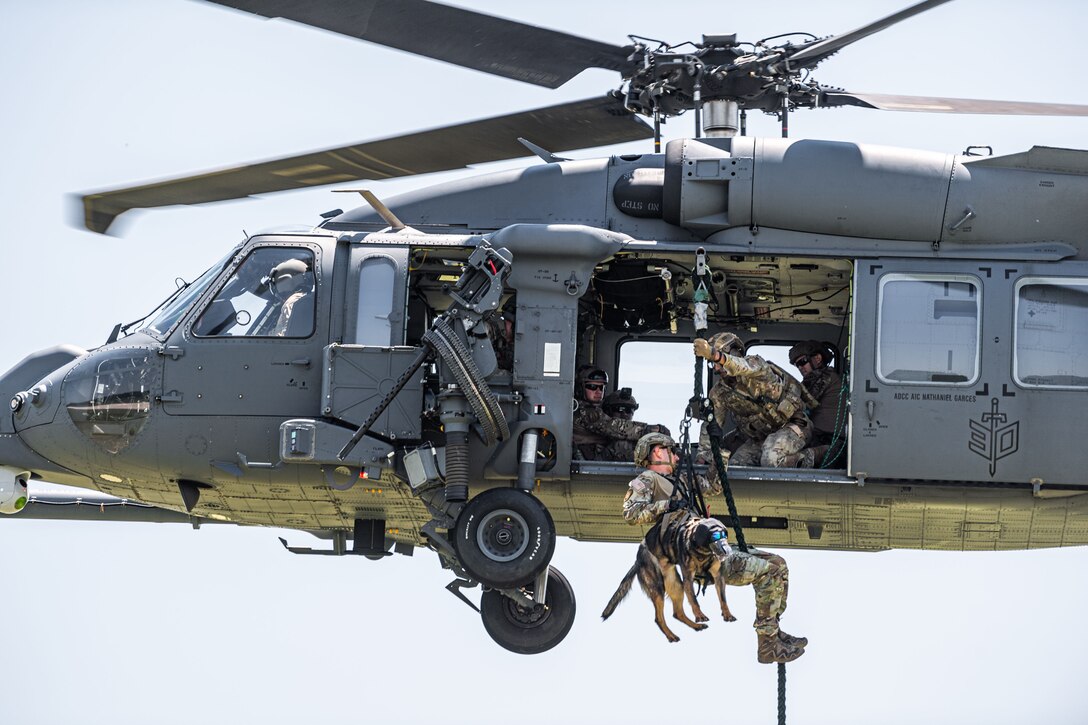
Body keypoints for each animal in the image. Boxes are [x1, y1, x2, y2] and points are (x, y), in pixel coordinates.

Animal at [600, 511, 735, 640]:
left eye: (724, 535)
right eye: (715, 536)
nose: (728, 550)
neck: (702, 550)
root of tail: (637, 561)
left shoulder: (718, 577)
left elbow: (723, 599)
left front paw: (727, 614)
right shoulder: (688, 579)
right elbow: (694, 600)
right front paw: (699, 615)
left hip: (676, 585)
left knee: (677, 613)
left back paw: (695, 626)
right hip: (658, 588)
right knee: (659, 618)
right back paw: (671, 635)